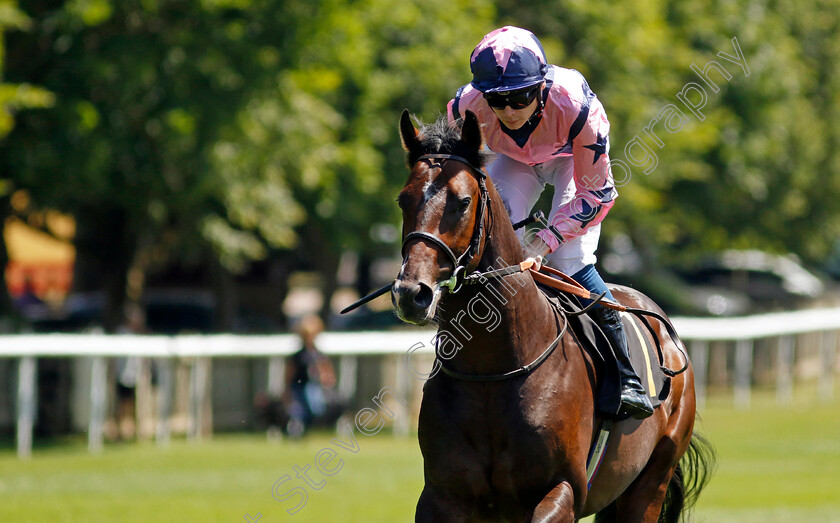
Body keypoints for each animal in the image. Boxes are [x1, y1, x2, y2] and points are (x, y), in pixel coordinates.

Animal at [390, 108, 712, 520]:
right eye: (404, 199)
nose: (412, 293)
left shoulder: (563, 489)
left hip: (651, 480)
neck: (491, 371)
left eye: (462, 202)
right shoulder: (442, 495)